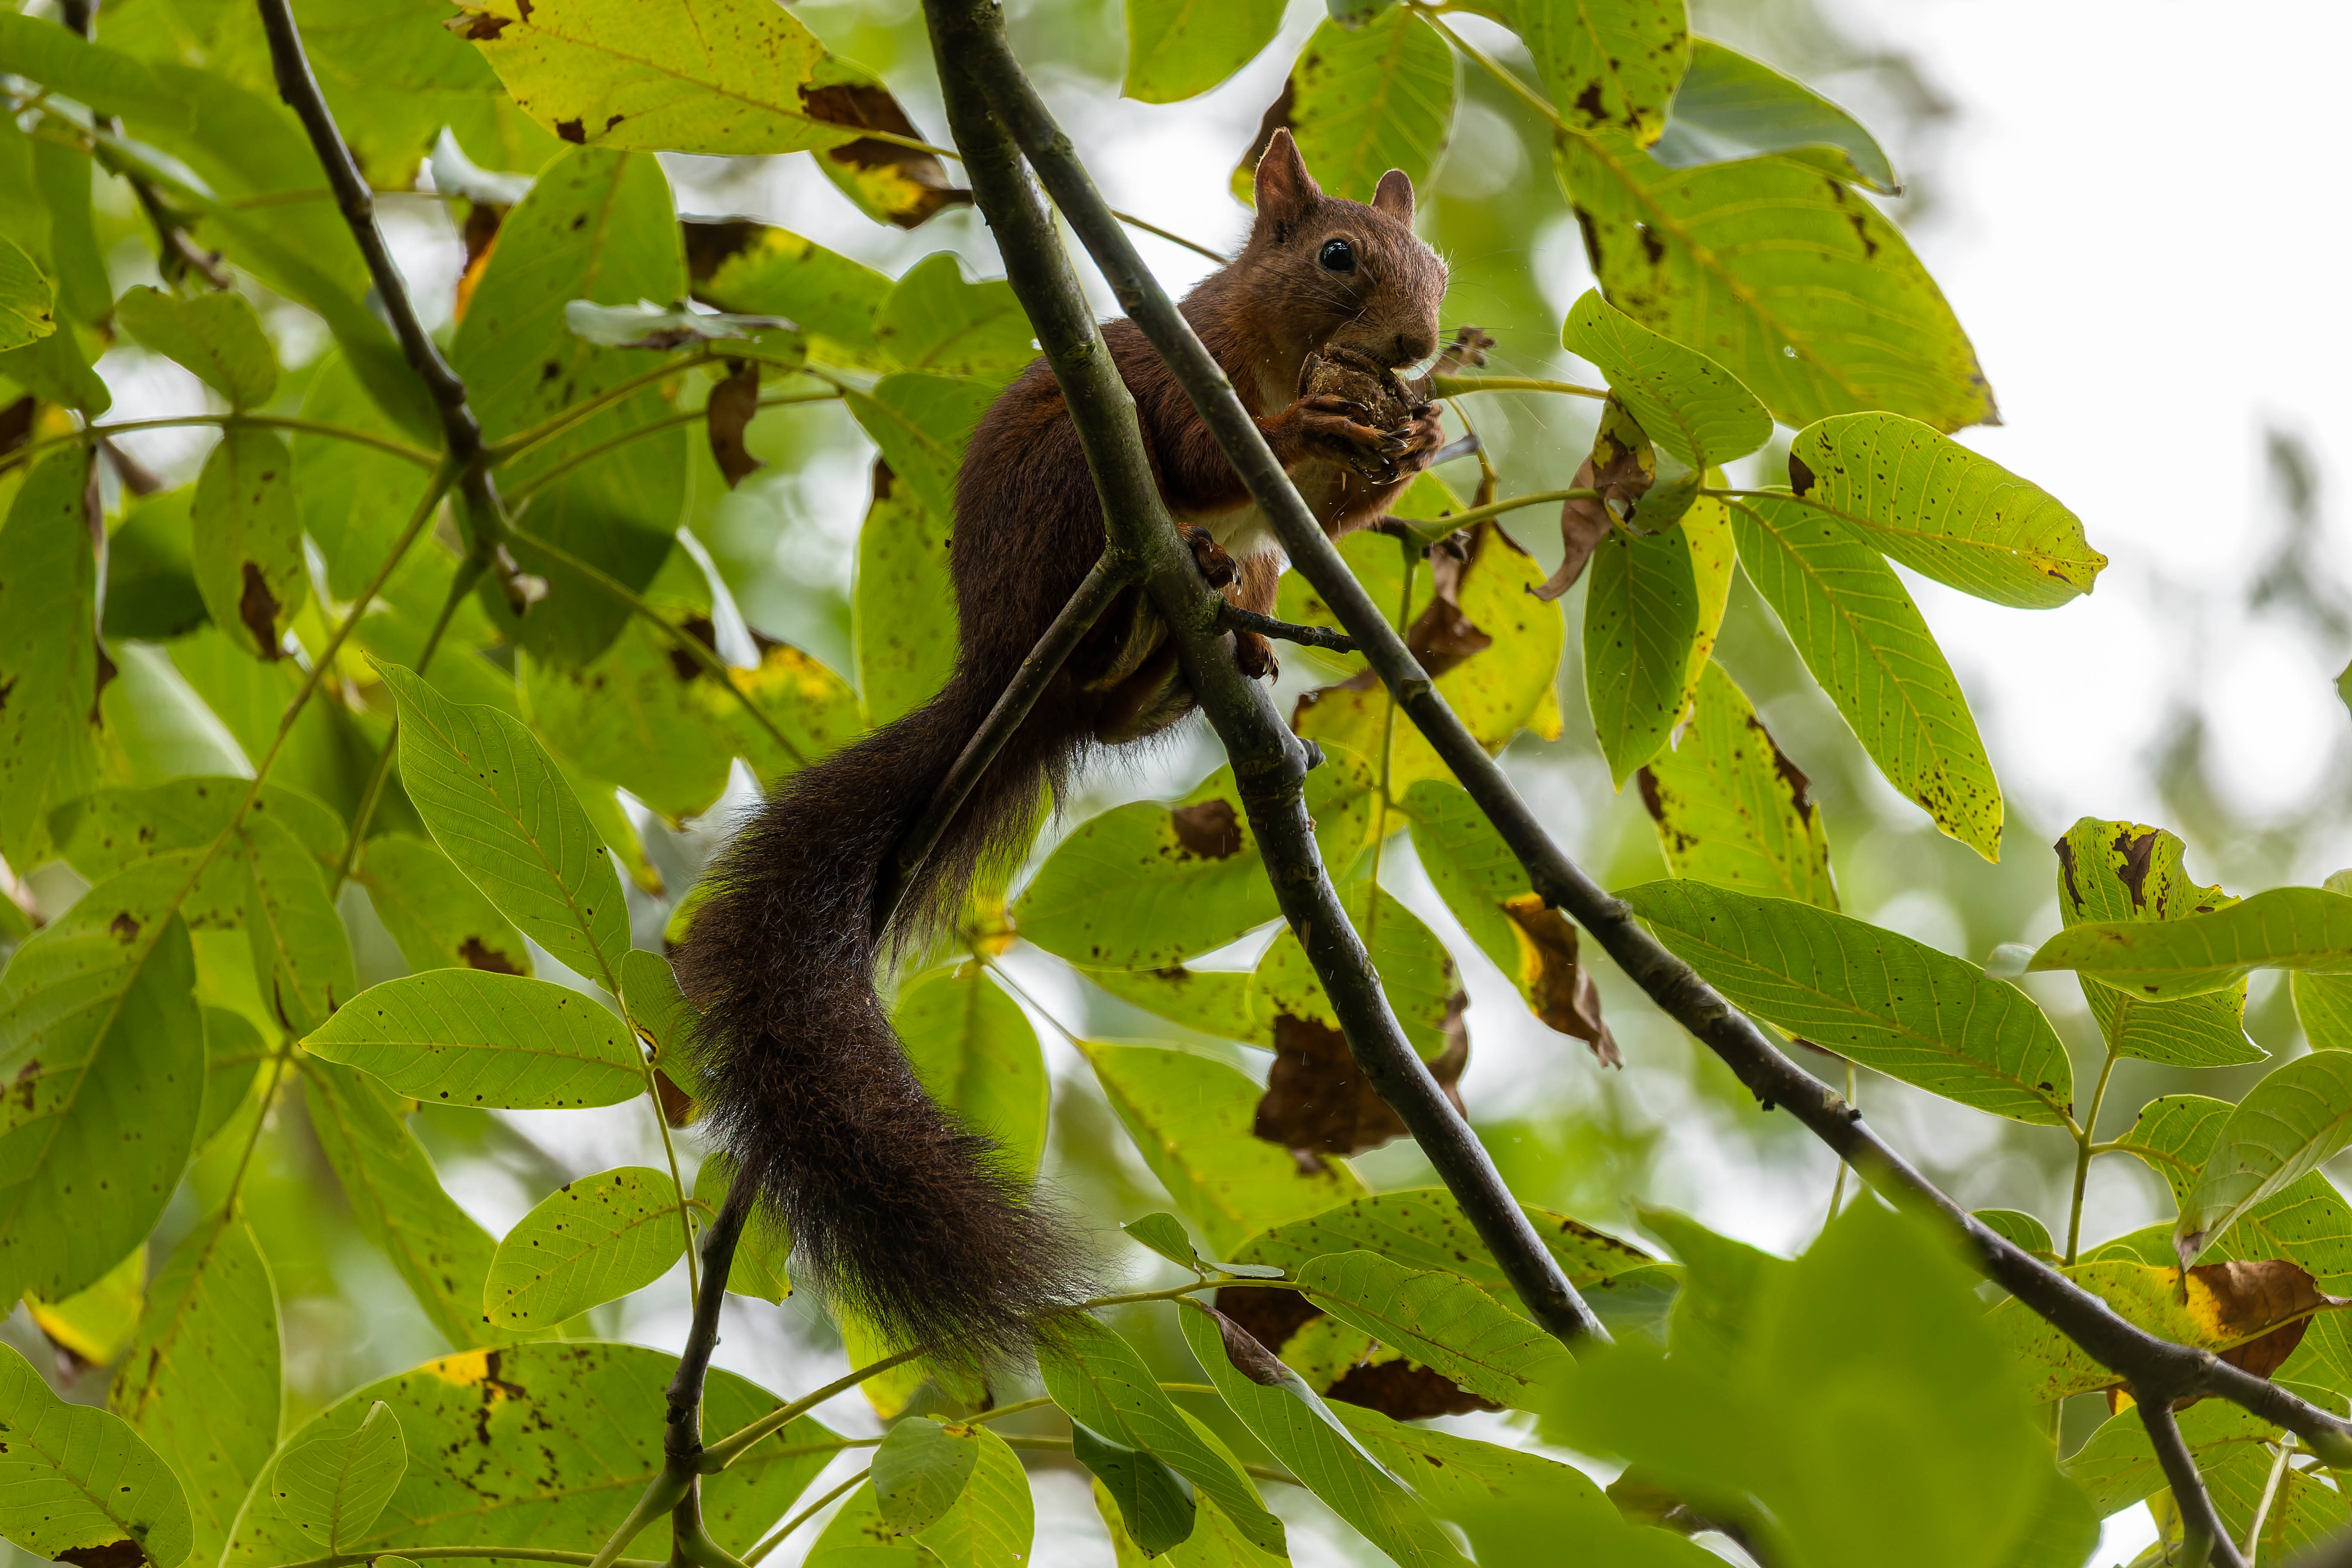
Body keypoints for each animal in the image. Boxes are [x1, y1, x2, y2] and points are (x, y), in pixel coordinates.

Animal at [673, 130, 1452, 1354]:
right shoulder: (1175, 381)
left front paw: (1417, 439)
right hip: (1070, 486)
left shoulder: (1303, 519)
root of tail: (1000, 666)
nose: (1421, 346)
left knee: (1195, 625)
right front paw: (1311, 429)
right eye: (1338, 256)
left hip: (1209, 587)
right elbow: (1200, 450)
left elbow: (1325, 521)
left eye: (1437, 267)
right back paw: (1147, 600)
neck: (1278, 354)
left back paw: (1210, 651)